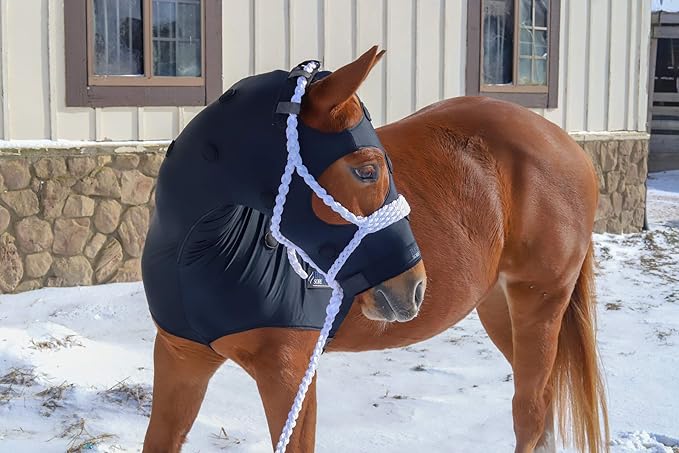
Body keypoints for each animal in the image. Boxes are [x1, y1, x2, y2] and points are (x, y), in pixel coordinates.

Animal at [140, 46, 609, 453]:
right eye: (367, 170)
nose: (414, 288)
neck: (195, 253)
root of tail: (566, 143)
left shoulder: (290, 376)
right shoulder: (180, 358)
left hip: (540, 302)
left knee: (529, 411)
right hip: (498, 306)